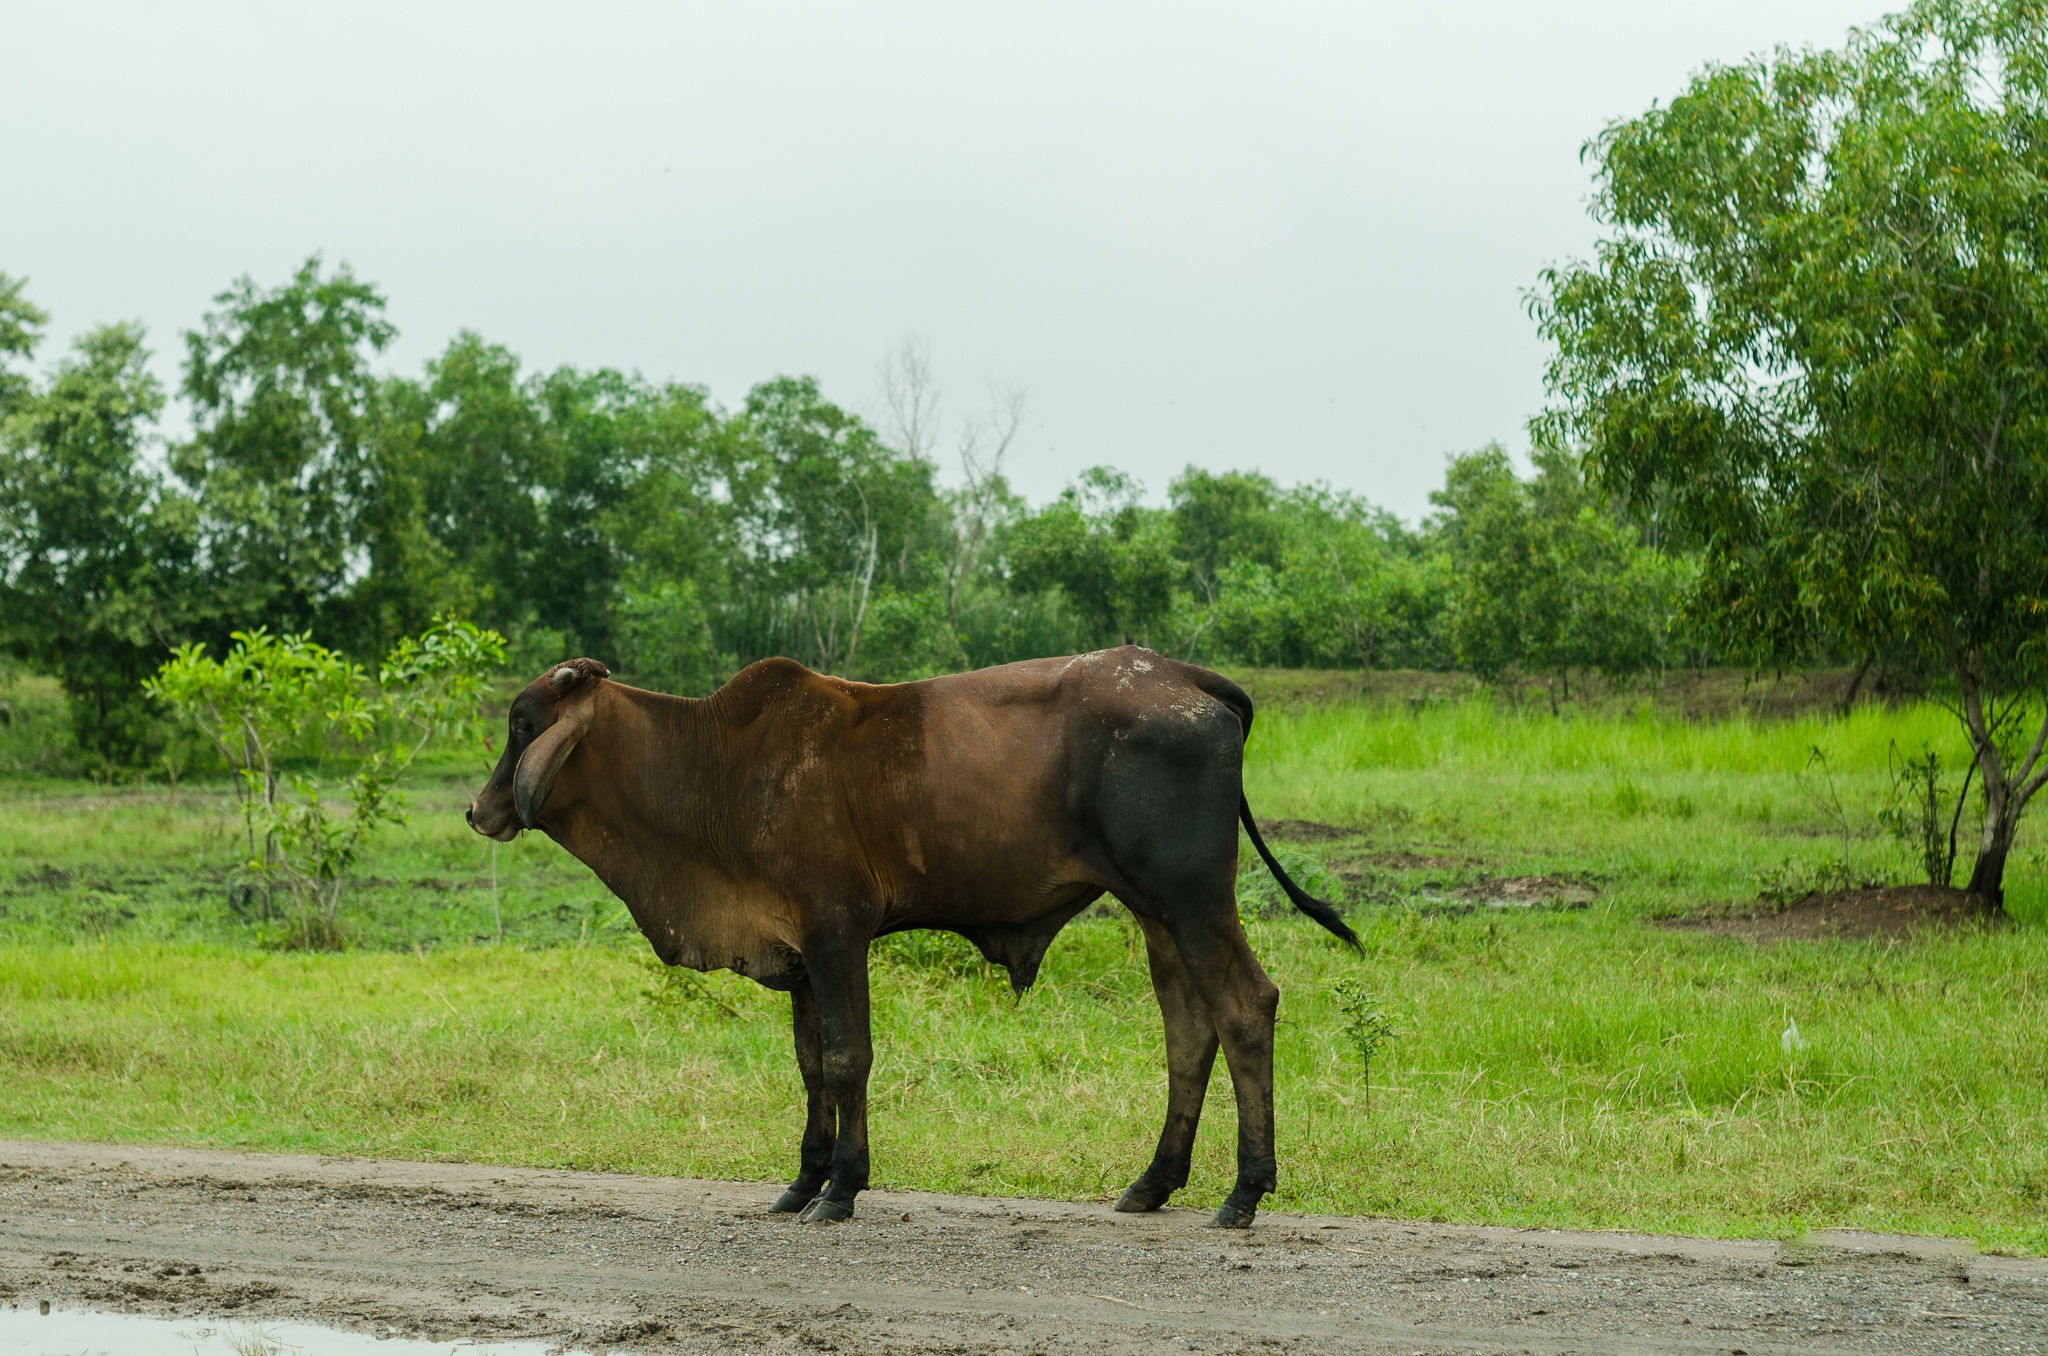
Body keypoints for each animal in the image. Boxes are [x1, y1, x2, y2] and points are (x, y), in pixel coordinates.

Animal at [466, 647, 1357, 1228]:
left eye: (523, 723)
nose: (479, 810)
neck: (715, 767)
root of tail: (1189, 677)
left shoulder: (837, 932)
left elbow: (844, 1059)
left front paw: (841, 1190)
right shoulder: (799, 956)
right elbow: (809, 1067)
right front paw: (800, 1182)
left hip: (1193, 897)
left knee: (1245, 1008)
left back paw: (1243, 1192)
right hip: (1155, 912)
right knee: (1189, 1030)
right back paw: (1153, 1183)